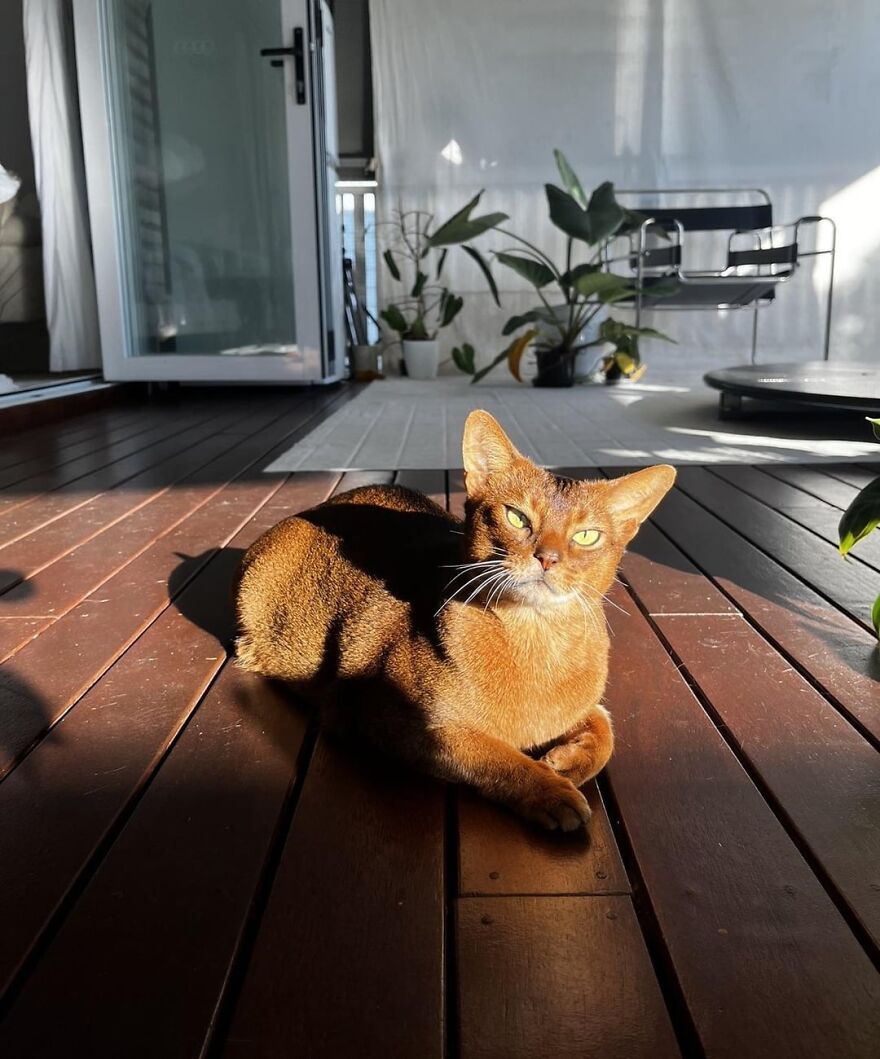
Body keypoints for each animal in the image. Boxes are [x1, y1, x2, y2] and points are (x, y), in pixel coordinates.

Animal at [234, 408, 673, 830]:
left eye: (586, 536)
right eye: (516, 517)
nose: (547, 558)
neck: (537, 642)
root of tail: (318, 507)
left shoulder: (582, 704)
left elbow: (606, 729)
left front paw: (567, 761)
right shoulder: (388, 719)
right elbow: (491, 753)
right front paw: (550, 791)